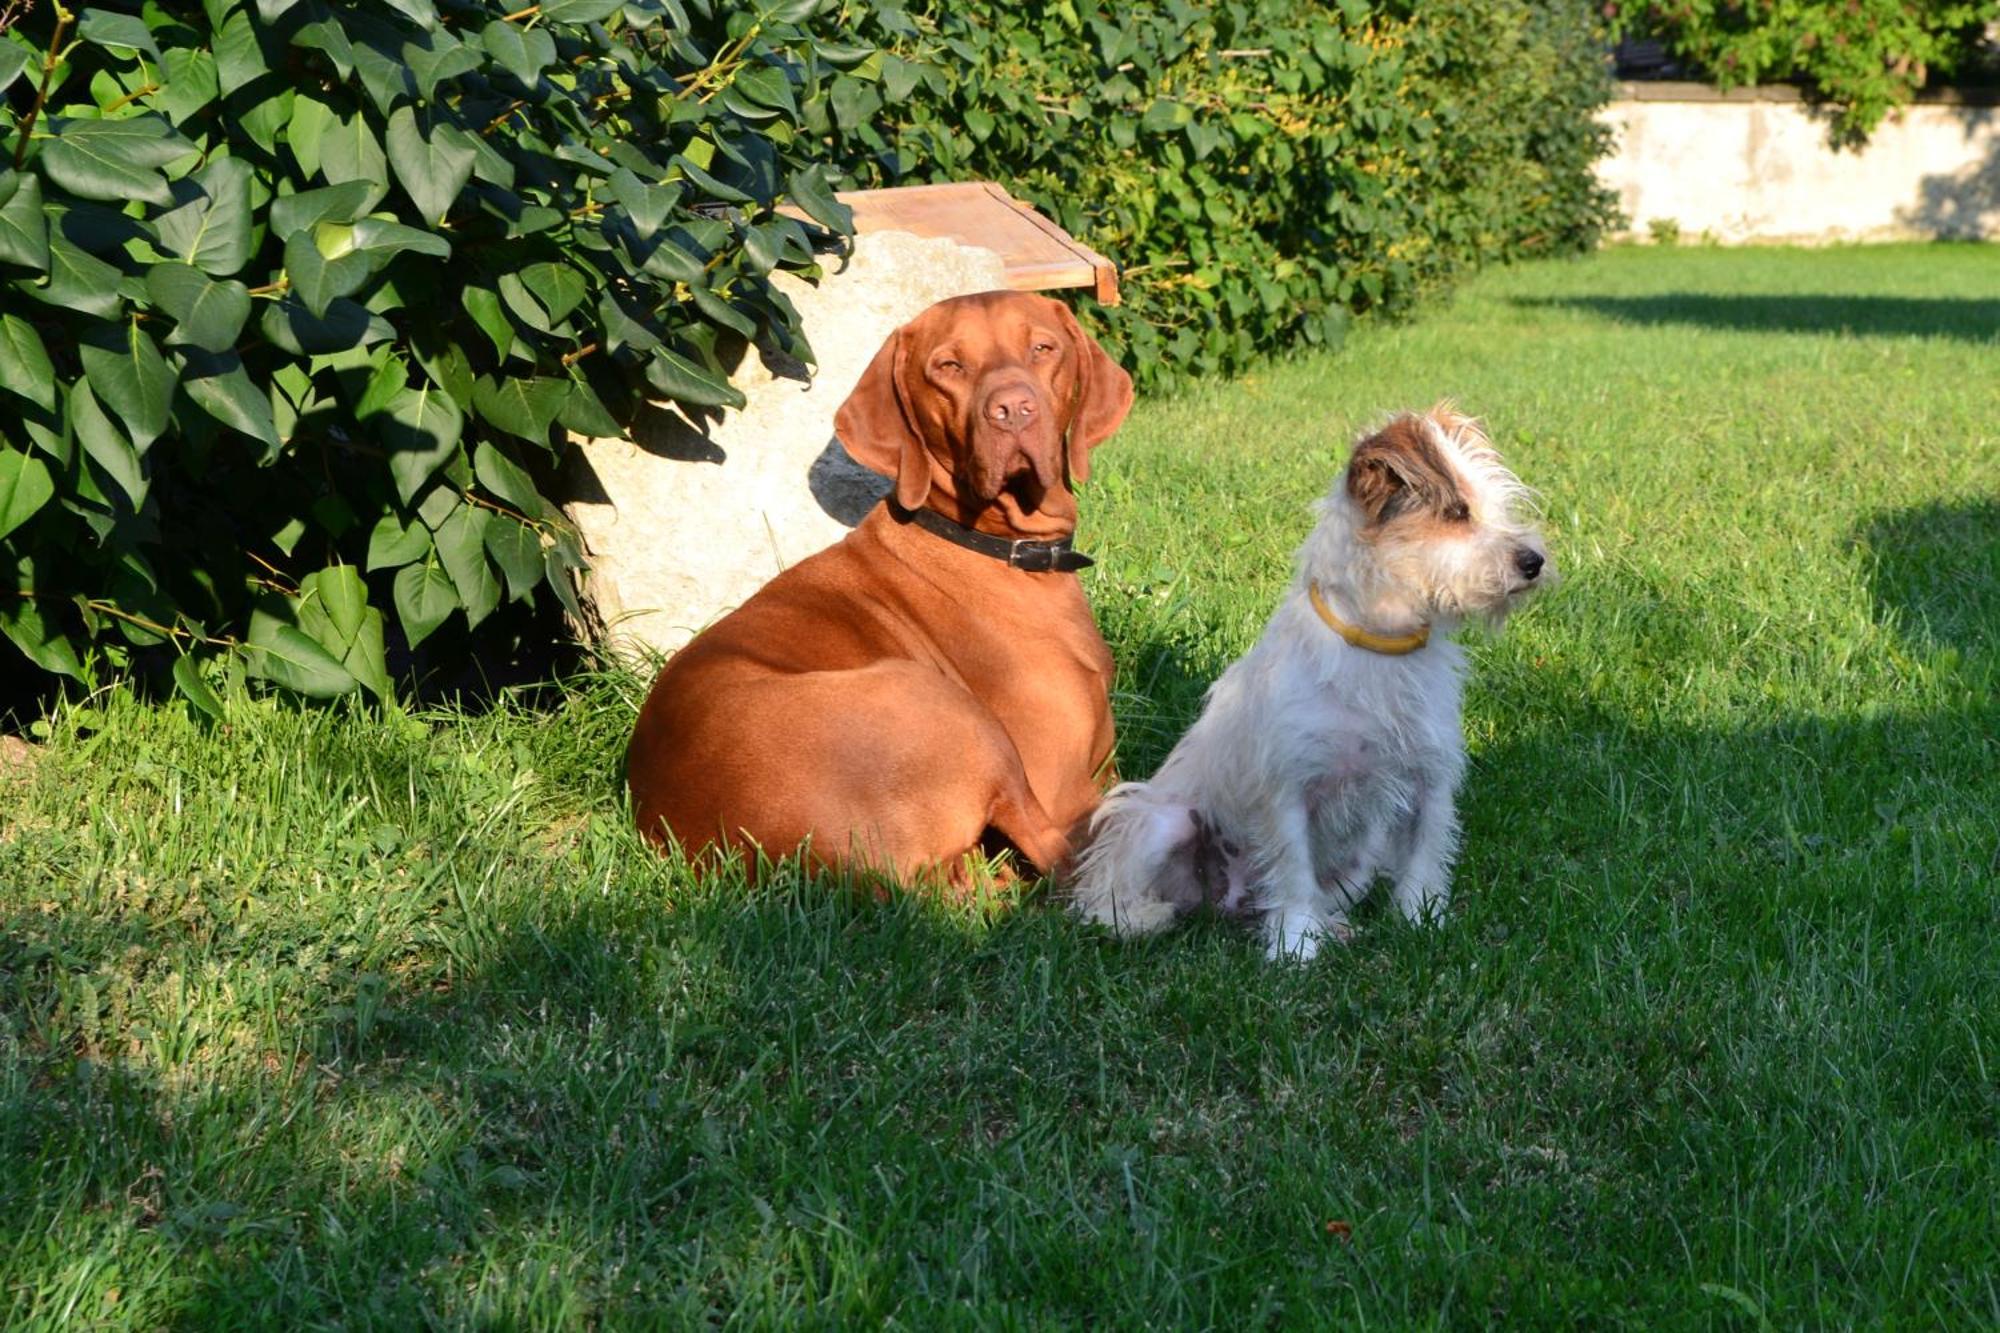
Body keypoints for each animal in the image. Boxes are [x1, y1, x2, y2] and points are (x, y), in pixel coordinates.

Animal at [628, 288, 1128, 880]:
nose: (1013, 410)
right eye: (949, 367)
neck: (989, 543)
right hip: (943, 704)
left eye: (1043, 348)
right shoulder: (1063, 787)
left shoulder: (1105, 768)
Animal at [1072, 404, 1552, 956]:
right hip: (1163, 823)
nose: (1534, 561)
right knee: (1104, 896)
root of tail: (1226, 904)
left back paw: (1332, 926)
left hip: (1360, 859)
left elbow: (1425, 858)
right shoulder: (1289, 788)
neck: (1379, 647)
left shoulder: (1430, 778)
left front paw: (1420, 924)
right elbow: (1294, 871)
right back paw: (1144, 918)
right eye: (1456, 514)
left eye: (1497, 509)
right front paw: (1296, 948)